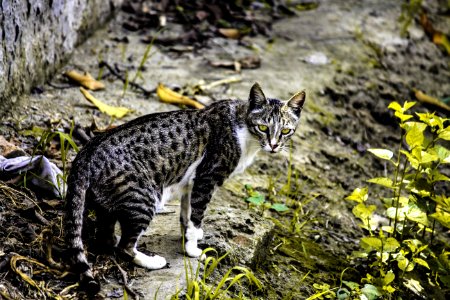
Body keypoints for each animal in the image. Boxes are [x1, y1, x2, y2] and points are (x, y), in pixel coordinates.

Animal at [64, 82, 306, 292]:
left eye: (285, 131)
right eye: (263, 127)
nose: (274, 145)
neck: (244, 130)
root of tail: (87, 152)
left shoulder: (191, 184)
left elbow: (187, 215)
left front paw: (193, 236)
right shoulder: (206, 178)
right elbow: (196, 215)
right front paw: (193, 251)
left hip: (111, 201)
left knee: (106, 236)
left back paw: (113, 240)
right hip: (144, 197)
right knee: (125, 247)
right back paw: (152, 261)